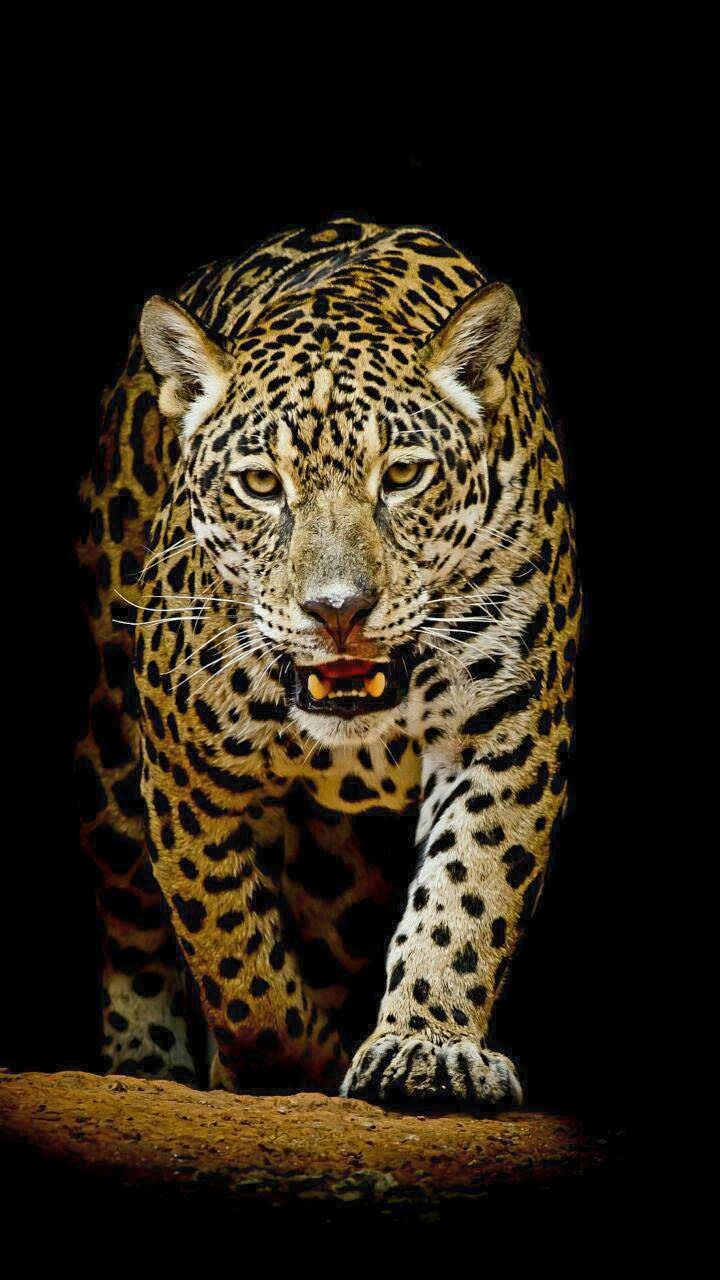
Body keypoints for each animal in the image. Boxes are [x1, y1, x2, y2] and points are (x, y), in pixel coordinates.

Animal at [76, 217, 580, 1107]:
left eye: (404, 475)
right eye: (260, 484)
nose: (338, 609)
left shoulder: (508, 732)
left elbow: (470, 890)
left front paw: (425, 1046)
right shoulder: (184, 766)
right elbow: (230, 945)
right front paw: (284, 1061)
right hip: (109, 747)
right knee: (130, 911)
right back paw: (145, 1059)